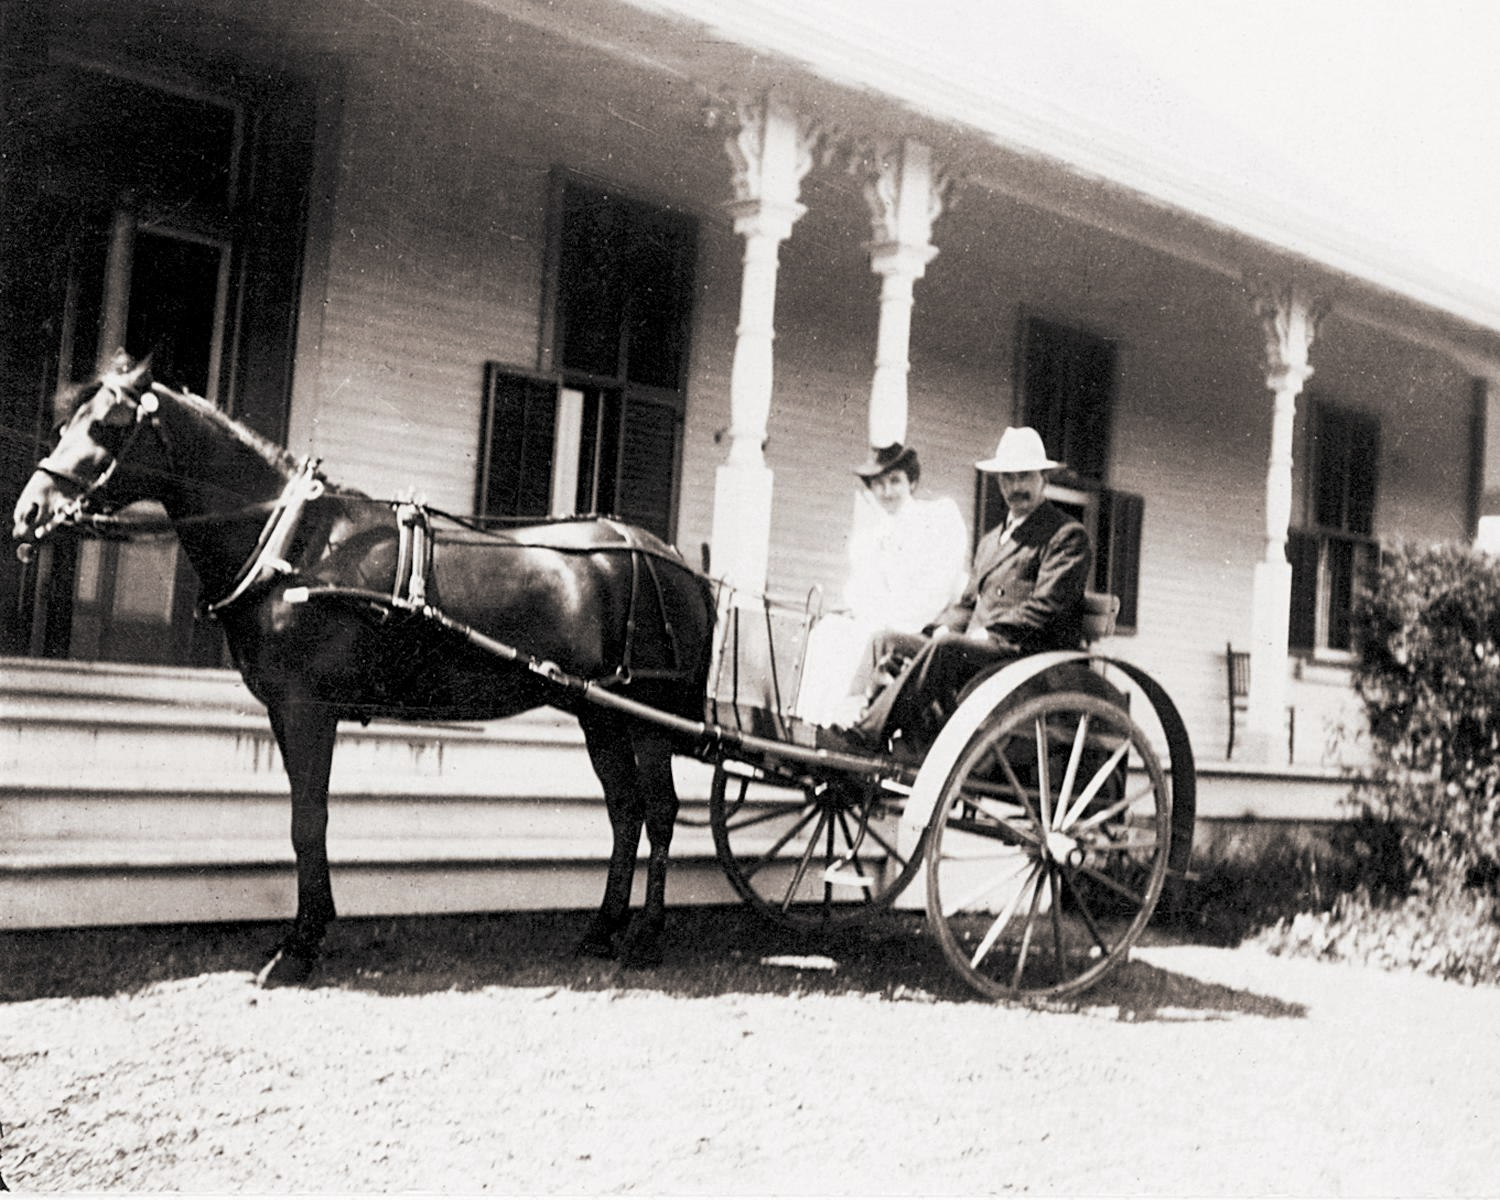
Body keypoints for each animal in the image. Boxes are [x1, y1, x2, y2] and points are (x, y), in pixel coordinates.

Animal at [8, 357, 714, 984]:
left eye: (108, 427)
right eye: (68, 421)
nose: (28, 513)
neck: (293, 544)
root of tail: (676, 561)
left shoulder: (307, 709)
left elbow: (308, 821)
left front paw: (298, 948)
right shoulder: (287, 712)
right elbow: (305, 818)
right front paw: (307, 932)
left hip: (649, 718)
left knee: (659, 811)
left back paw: (646, 938)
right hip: (601, 714)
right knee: (624, 812)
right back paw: (601, 930)